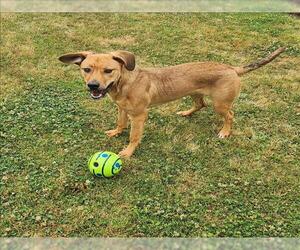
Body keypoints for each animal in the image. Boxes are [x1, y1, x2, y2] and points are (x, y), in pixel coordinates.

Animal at [58, 47, 286, 157]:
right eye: (86, 69)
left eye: (108, 70)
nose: (93, 86)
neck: (124, 83)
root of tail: (232, 68)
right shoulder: (122, 109)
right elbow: (121, 124)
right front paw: (116, 132)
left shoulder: (139, 116)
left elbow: (133, 136)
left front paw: (128, 152)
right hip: (194, 94)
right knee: (199, 105)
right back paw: (186, 113)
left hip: (220, 104)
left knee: (230, 115)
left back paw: (225, 131)